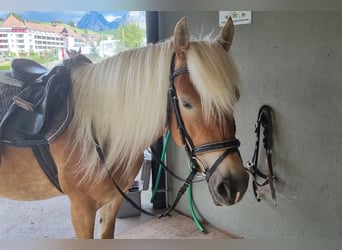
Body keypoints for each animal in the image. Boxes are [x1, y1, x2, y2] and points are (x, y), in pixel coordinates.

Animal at [0, 16, 248, 239]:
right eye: (186, 103)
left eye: (235, 98)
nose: (234, 184)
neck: (99, 129)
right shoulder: (81, 209)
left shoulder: (112, 202)